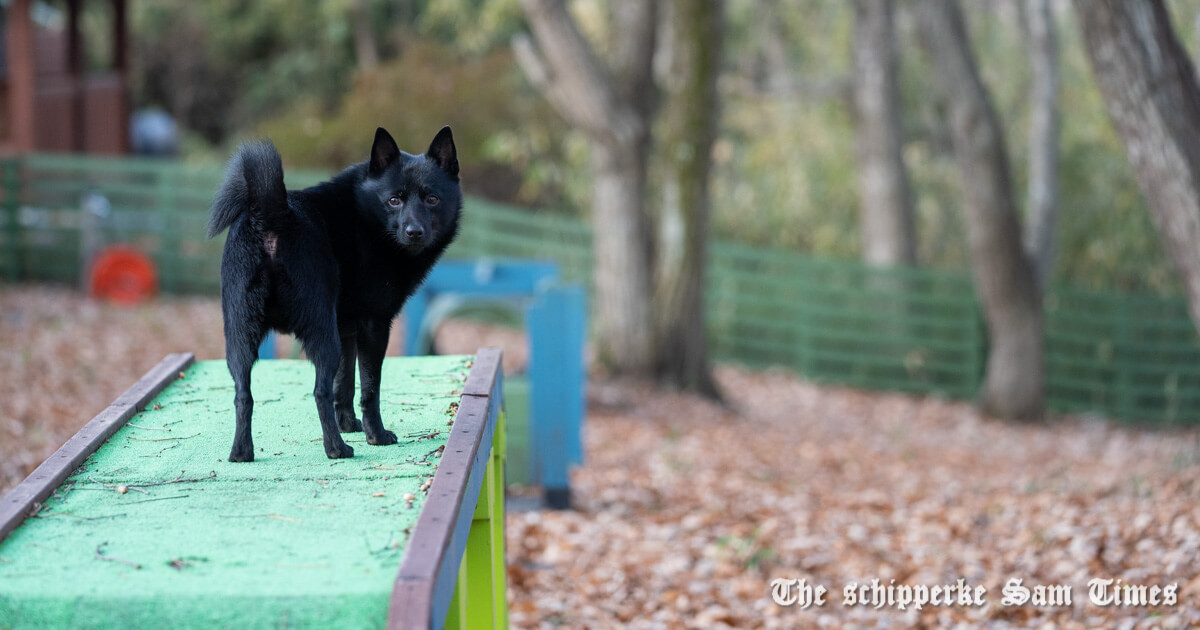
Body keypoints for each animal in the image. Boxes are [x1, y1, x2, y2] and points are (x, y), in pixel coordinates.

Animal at [208, 126, 460, 460]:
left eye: (432, 199)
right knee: (319, 391)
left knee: (242, 394)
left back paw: (241, 453)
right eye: (394, 200)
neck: (366, 215)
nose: (414, 232)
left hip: (240, 335)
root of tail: (272, 214)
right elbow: (368, 388)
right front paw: (375, 435)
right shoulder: (373, 326)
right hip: (321, 332)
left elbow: (346, 383)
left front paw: (349, 424)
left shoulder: (346, 329)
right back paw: (337, 449)